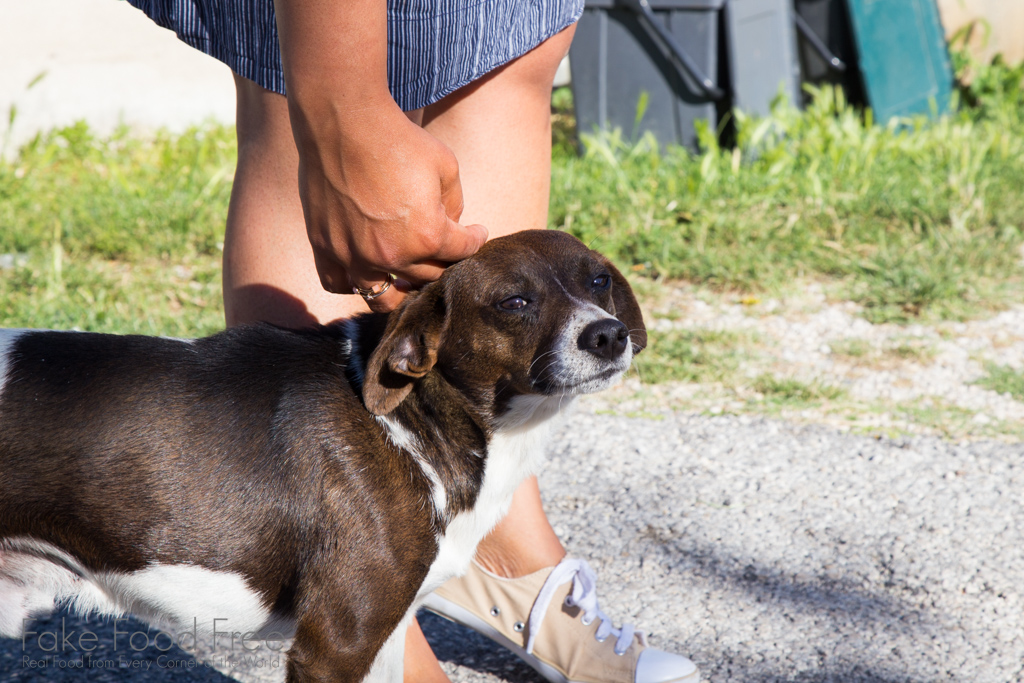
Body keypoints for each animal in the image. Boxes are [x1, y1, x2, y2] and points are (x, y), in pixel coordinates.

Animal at [0, 231, 643, 683]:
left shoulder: (384, 638)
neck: (413, 423)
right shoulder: (334, 645)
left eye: (598, 281)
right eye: (513, 301)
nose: (608, 335)